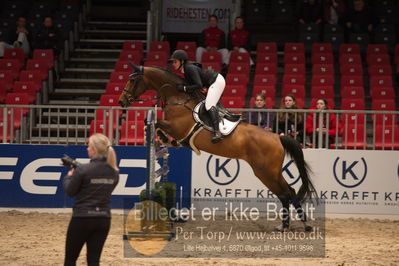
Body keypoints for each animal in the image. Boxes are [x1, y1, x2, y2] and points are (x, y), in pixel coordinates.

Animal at [117, 64, 318, 231]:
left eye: (132, 80)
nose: (121, 101)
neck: (178, 97)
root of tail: (278, 137)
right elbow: (159, 128)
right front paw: (164, 141)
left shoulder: (176, 127)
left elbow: (158, 123)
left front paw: (162, 138)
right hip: (270, 172)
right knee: (287, 193)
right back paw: (290, 225)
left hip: (266, 172)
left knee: (286, 193)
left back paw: (299, 225)